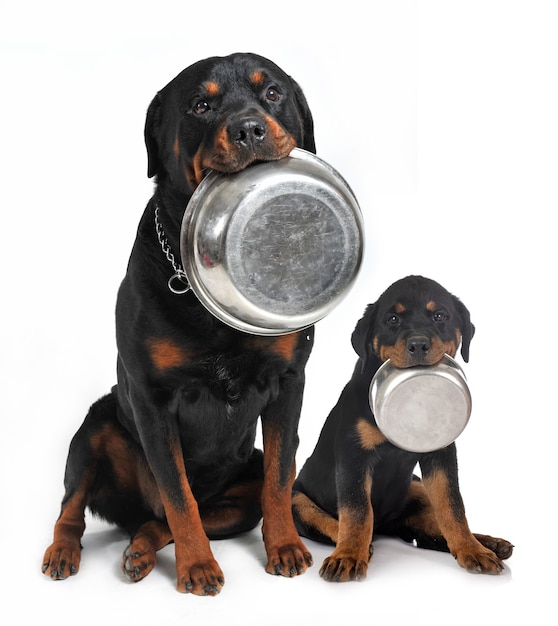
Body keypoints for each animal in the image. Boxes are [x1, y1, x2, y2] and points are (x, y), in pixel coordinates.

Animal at [41, 51, 318, 592]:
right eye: (200, 105)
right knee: (76, 506)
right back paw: (63, 552)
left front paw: (286, 547)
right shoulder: (153, 400)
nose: (250, 128)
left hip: (240, 487)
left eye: (272, 93)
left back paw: (140, 550)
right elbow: (177, 494)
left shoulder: (288, 381)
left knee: (166, 518)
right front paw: (197, 567)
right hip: (97, 425)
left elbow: (280, 476)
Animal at [294, 274, 516, 580]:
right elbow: (357, 510)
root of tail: (388, 525)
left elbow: (452, 506)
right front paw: (348, 556)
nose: (418, 344)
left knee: (430, 529)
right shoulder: (353, 456)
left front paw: (473, 551)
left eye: (439, 316)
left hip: (417, 487)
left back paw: (488, 543)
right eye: (392, 320)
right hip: (297, 501)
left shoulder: (441, 455)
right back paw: (359, 546)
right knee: (332, 521)